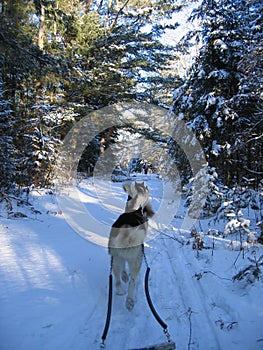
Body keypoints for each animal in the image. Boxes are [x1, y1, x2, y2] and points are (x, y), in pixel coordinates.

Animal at [109, 182, 156, 310]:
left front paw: (124, 275)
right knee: (133, 282)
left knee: (117, 279)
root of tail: (127, 232)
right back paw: (130, 300)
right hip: (136, 261)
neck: (133, 209)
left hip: (115, 259)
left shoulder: (121, 257)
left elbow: (123, 269)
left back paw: (120, 290)